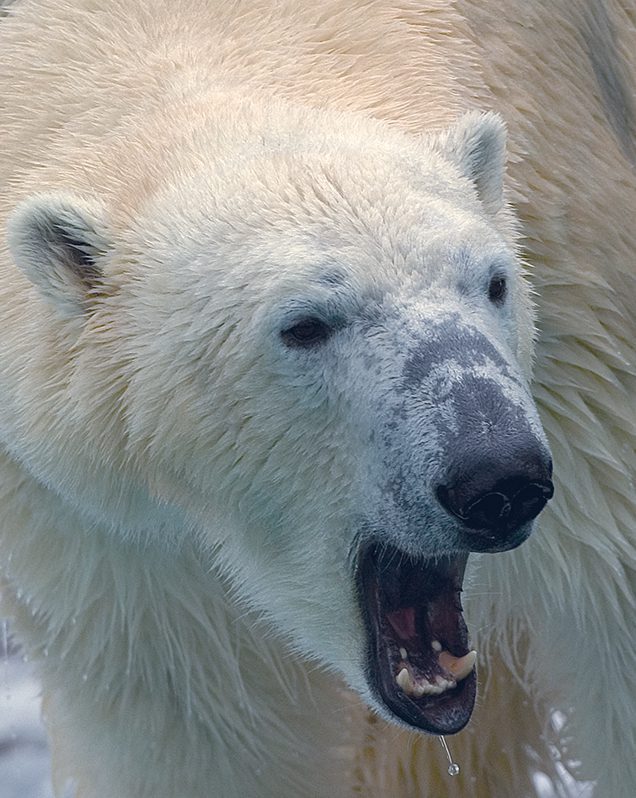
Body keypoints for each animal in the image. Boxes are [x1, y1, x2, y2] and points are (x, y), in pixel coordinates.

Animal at [0, 1, 632, 798]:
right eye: (305, 325)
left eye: (493, 282)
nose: (498, 475)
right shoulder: (112, 544)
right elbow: (194, 731)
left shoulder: (583, 323)